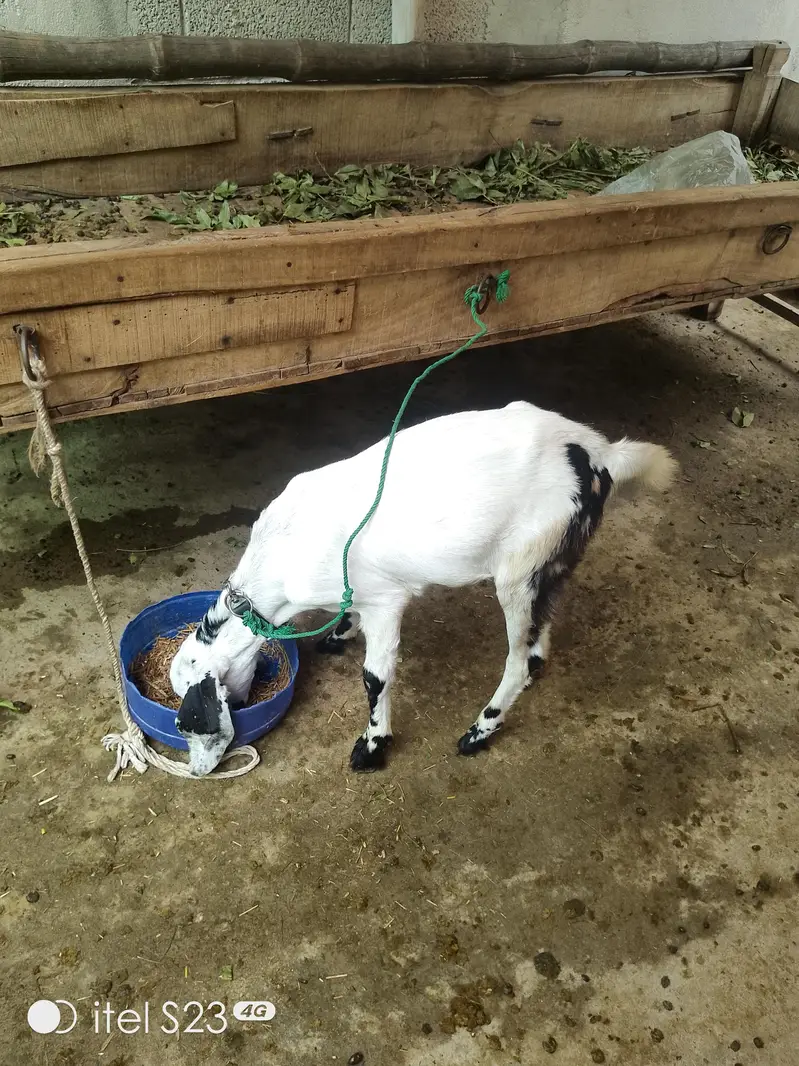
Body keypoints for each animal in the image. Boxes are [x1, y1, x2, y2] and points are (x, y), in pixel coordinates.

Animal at [170, 401, 677, 775]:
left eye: (190, 723)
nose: (196, 771)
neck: (281, 556)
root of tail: (599, 455)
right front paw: (339, 633)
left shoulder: (385, 600)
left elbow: (374, 678)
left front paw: (372, 747)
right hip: (552, 561)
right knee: (540, 635)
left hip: (519, 567)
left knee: (519, 660)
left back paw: (479, 731)